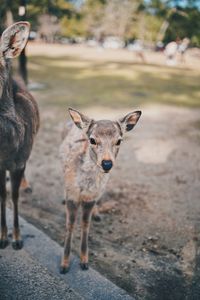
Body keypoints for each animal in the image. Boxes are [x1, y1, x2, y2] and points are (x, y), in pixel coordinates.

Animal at [59, 108, 141, 274]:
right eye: (92, 140)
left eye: (119, 140)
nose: (107, 163)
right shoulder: (72, 194)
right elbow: (70, 225)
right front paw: (64, 265)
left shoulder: (91, 197)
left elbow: (86, 223)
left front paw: (84, 261)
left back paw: (97, 214)